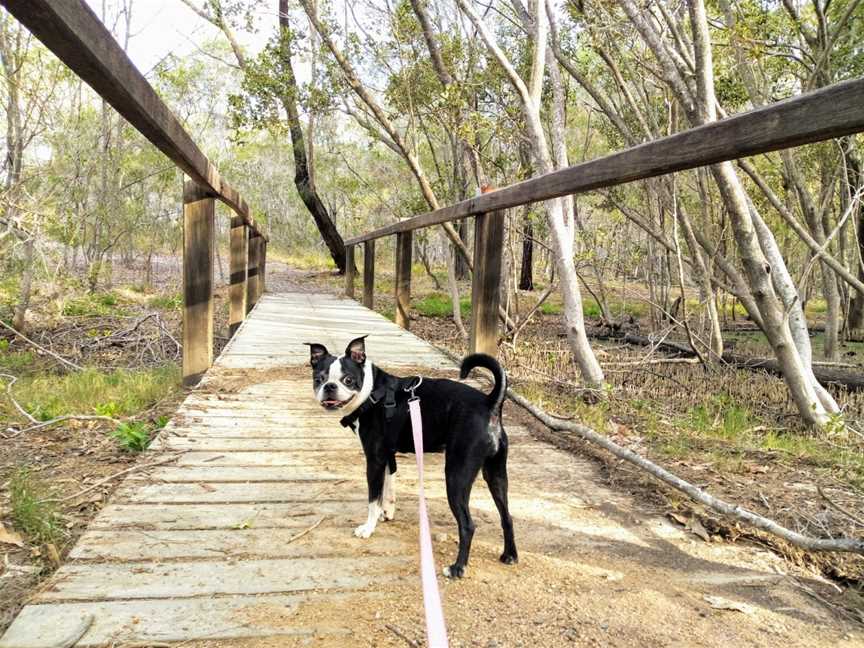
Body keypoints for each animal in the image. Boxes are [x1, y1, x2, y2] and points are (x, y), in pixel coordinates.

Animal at [306, 334, 516, 576]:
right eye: (319, 378)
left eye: (348, 380)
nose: (329, 387)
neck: (372, 394)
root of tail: (490, 403)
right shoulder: (388, 456)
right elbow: (388, 487)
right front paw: (386, 512)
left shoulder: (374, 461)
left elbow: (373, 498)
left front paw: (368, 528)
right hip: (496, 474)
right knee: (507, 516)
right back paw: (510, 555)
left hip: (456, 476)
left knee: (467, 525)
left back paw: (457, 568)